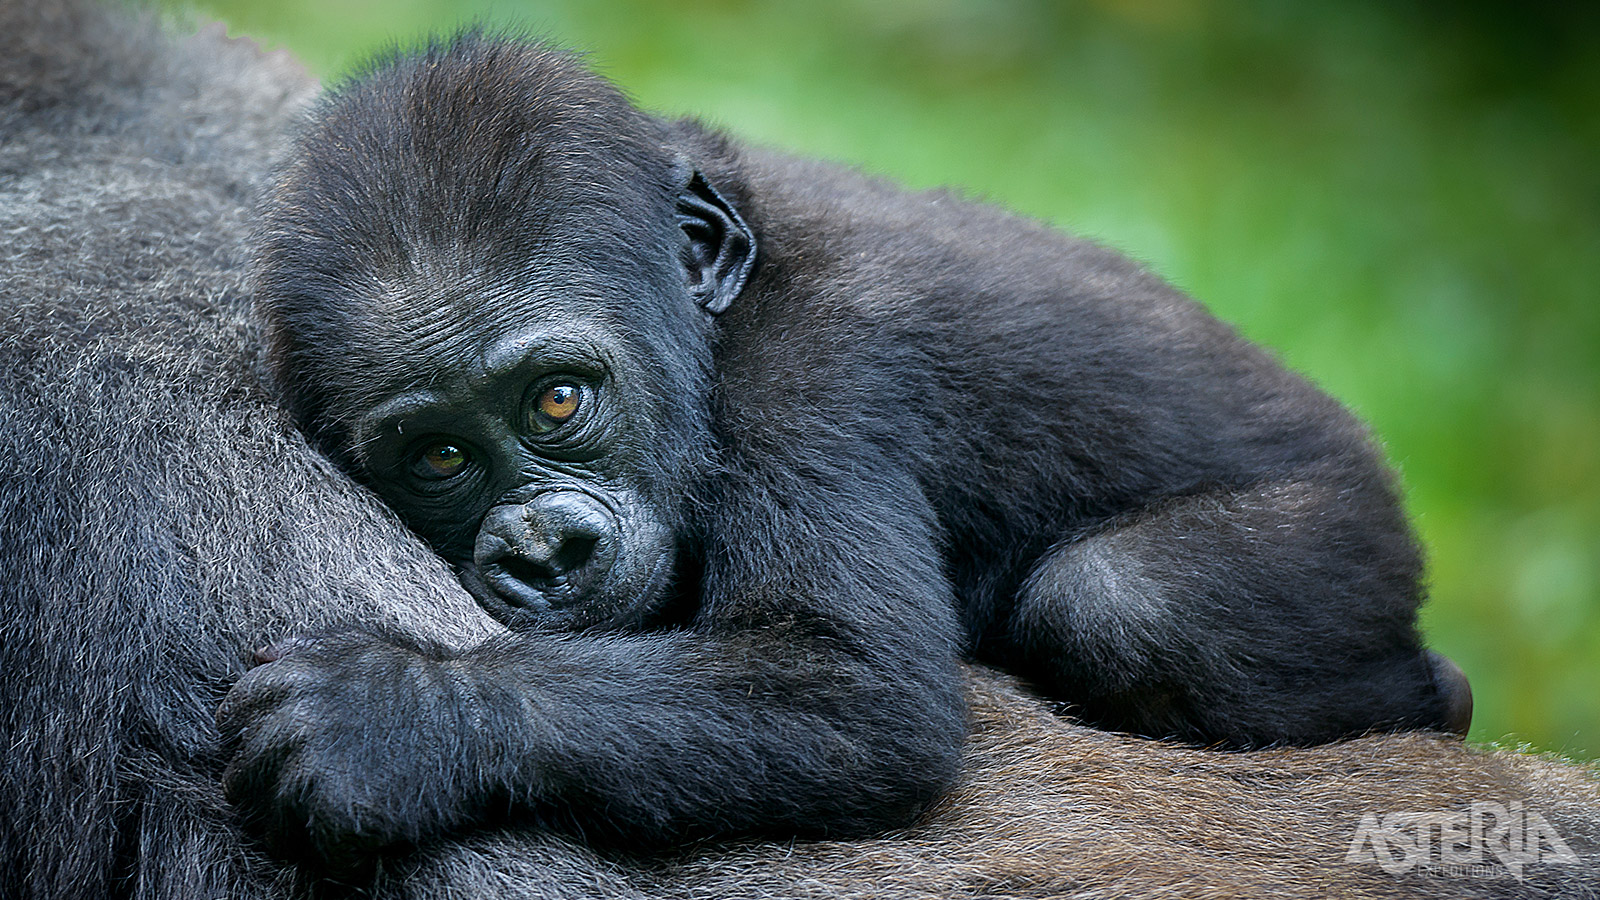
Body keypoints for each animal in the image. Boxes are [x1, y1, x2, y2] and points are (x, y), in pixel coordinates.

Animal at [222, 35, 1472, 871]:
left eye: (558, 401)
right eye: (437, 458)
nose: (541, 550)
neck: (717, 303)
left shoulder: (816, 375)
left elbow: (859, 694)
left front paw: (403, 717)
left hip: (1347, 534)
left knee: (1124, 602)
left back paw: (1437, 700)